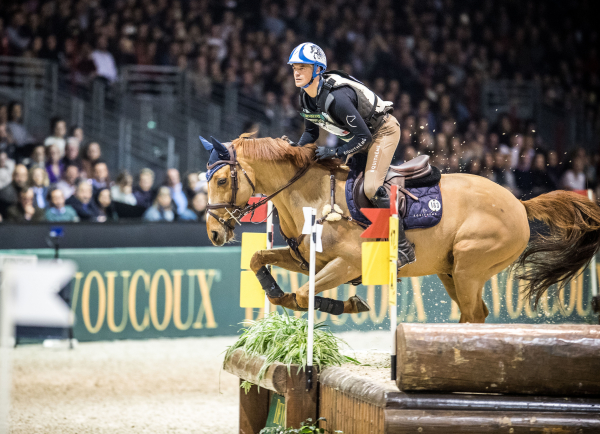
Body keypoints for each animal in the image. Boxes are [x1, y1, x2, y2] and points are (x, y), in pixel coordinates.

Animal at [205, 135, 600, 322]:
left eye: (222, 180)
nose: (213, 234)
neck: (313, 196)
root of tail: (519, 203)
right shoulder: (304, 259)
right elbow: (260, 261)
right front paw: (276, 293)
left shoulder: (348, 264)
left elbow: (304, 295)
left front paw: (348, 305)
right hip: (450, 272)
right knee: (475, 314)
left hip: (470, 267)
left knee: (474, 315)